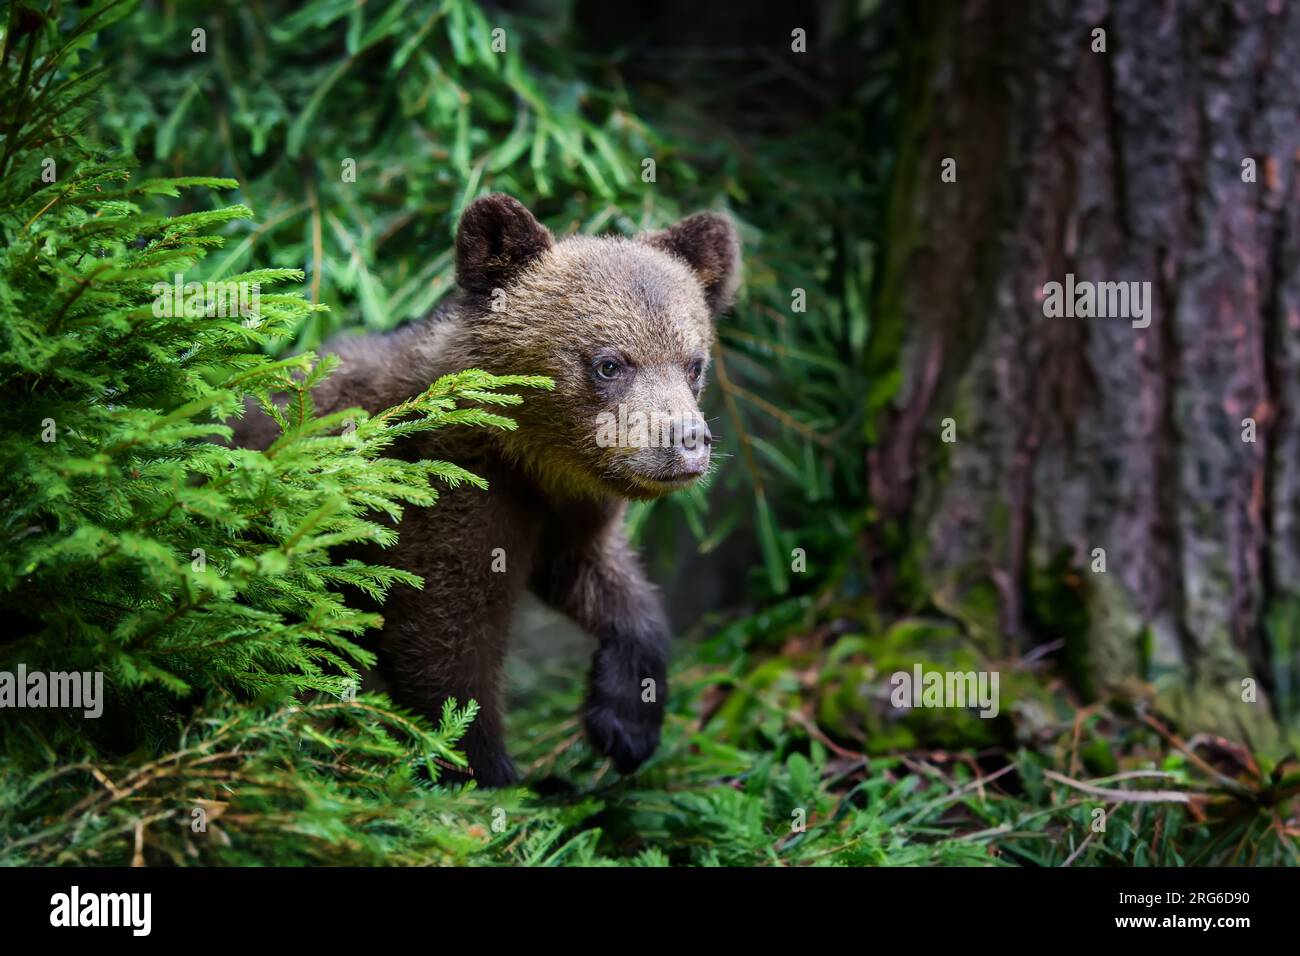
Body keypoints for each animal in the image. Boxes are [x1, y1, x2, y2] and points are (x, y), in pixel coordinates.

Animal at [231, 194, 740, 786]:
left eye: (694, 363)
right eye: (609, 363)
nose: (687, 441)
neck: (528, 458)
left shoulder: (565, 510)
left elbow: (602, 582)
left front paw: (625, 722)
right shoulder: (446, 496)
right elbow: (445, 642)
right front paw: (496, 775)